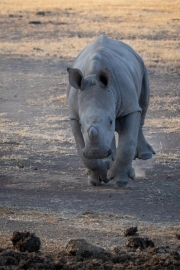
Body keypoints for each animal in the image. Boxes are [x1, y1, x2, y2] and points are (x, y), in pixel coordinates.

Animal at [66, 35, 155, 188]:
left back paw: (145, 155)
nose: (96, 152)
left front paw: (121, 181)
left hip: (141, 65)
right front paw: (97, 178)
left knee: (142, 107)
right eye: (82, 124)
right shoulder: (74, 116)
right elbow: (81, 149)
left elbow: (127, 145)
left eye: (110, 121)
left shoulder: (129, 108)